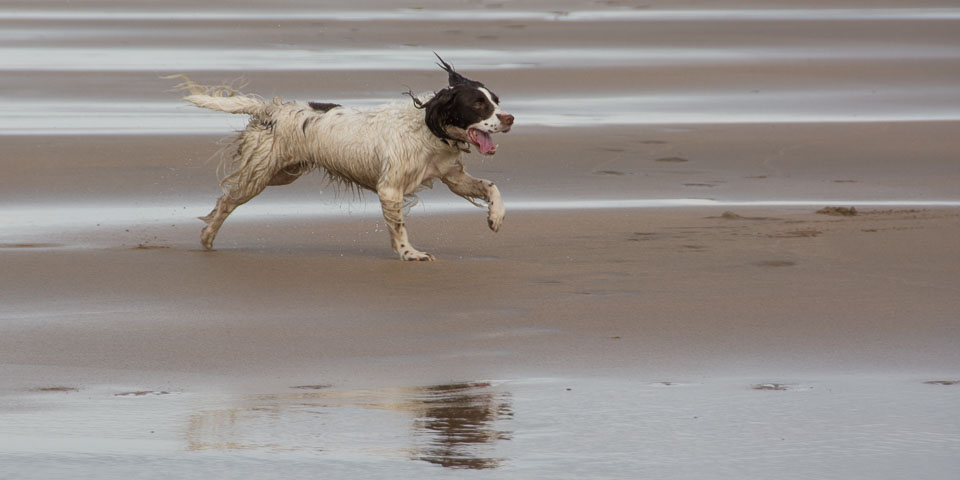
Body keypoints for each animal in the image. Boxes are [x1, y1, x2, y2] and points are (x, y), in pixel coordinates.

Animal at [175, 55, 512, 262]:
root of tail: (270, 110)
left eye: (496, 101)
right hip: (260, 175)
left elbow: (491, 187)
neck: (428, 129)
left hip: (282, 174)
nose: (510, 118)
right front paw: (409, 253)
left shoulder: (452, 177)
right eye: (478, 104)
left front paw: (496, 217)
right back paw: (207, 236)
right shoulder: (390, 189)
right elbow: (399, 226)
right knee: (225, 202)